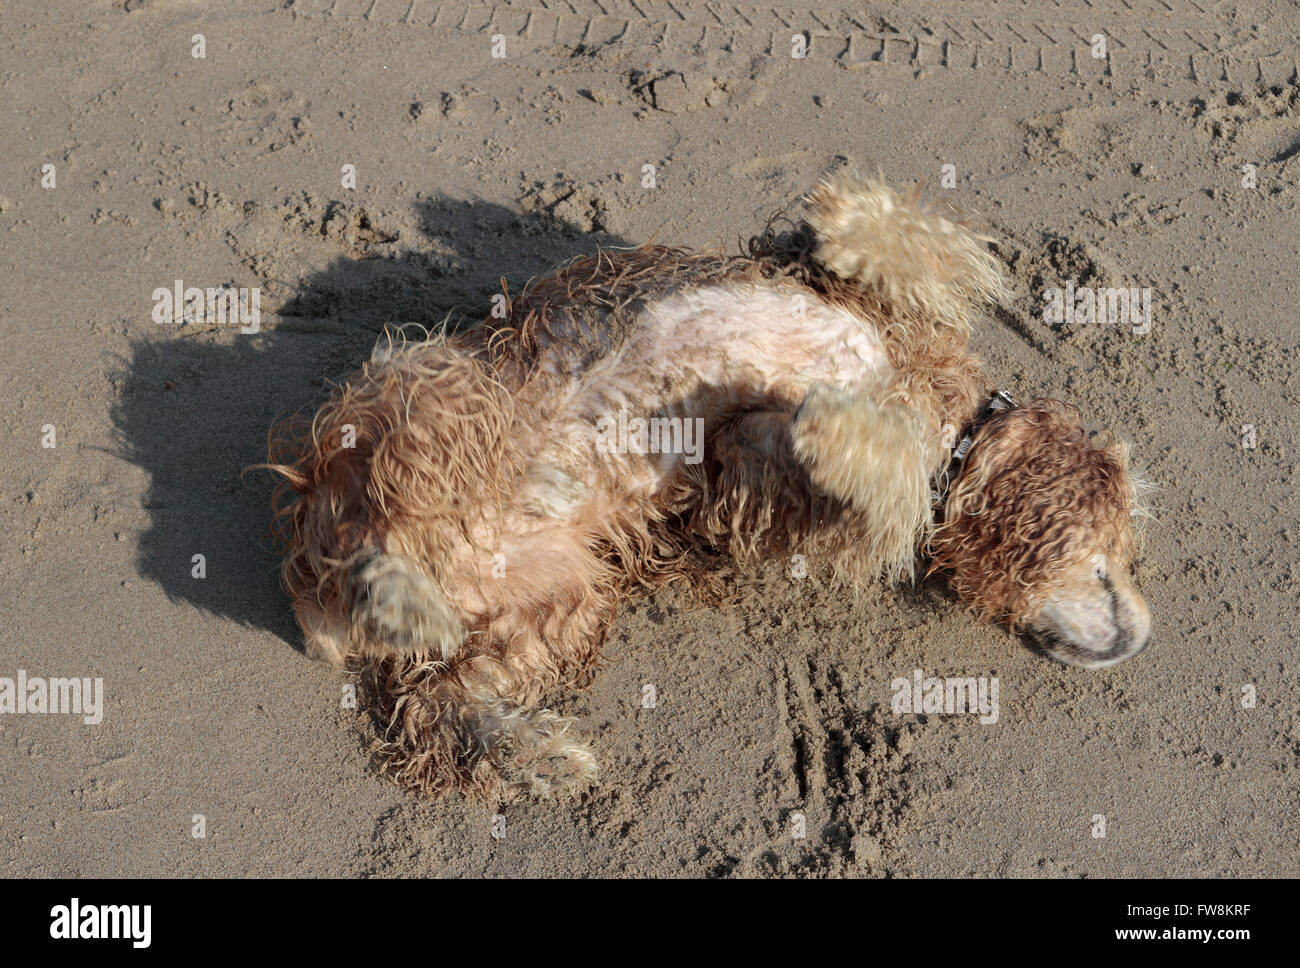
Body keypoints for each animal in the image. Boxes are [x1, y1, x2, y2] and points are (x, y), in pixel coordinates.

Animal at [261, 174, 1149, 800]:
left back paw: (530, 752)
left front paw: (839, 426)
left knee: (440, 705)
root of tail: (321, 606)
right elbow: (915, 240)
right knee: (387, 517)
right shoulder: (825, 317)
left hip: (559, 600)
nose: (1142, 638)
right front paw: (842, 216)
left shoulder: (756, 474)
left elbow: (869, 455)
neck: (953, 422)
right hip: (442, 385)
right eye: (1119, 551)